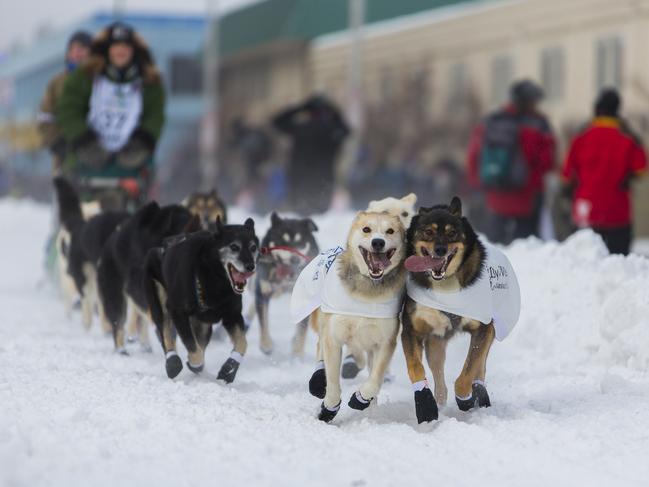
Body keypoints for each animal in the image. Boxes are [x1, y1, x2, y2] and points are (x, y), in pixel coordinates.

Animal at [144, 219, 258, 384]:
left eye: (253, 247)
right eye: (234, 247)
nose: (250, 266)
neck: (215, 280)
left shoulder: (232, 316)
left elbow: (242, 343)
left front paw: (229, 370)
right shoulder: (177, 311)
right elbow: (193, 347)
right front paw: (193, 363)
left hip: (204, 325)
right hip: (159, 302)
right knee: (165, 331)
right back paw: (173, 363)